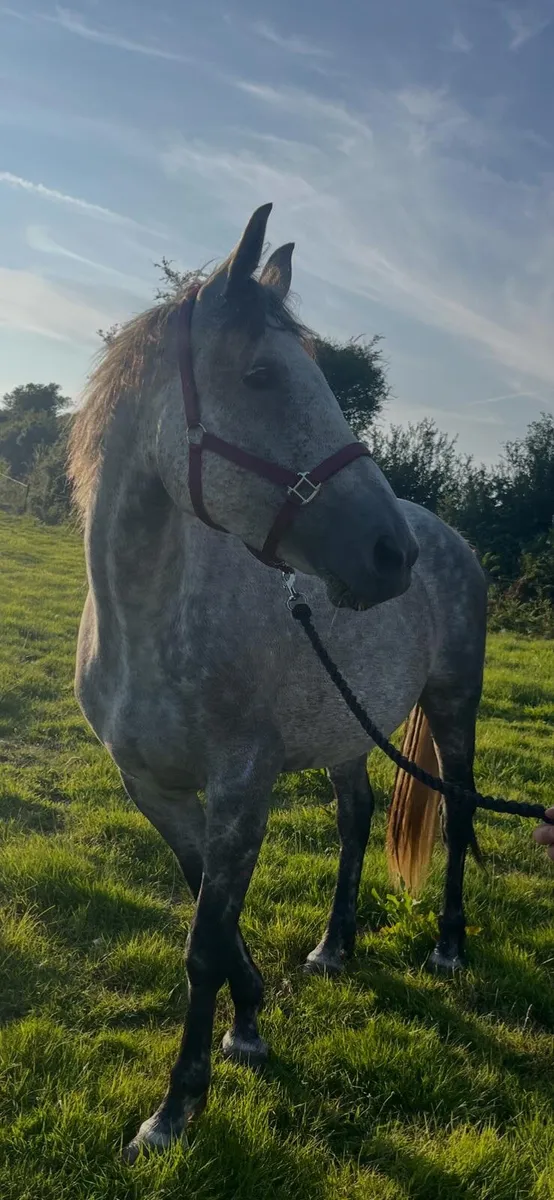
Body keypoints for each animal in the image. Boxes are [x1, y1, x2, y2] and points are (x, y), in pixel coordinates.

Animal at [68, 204, 487, 1162]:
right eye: (260, 376)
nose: (390, 555)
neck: (149, 623)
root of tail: (444, 535)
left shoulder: (241, 789)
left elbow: (203, 941)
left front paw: (174, 1110)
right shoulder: (153, 790)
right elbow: (213, 927)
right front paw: (249, 1025)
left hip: (454, 706)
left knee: (458, 811)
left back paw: (448, 947)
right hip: (347, 732)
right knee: (357, 817)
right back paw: (335, 947)